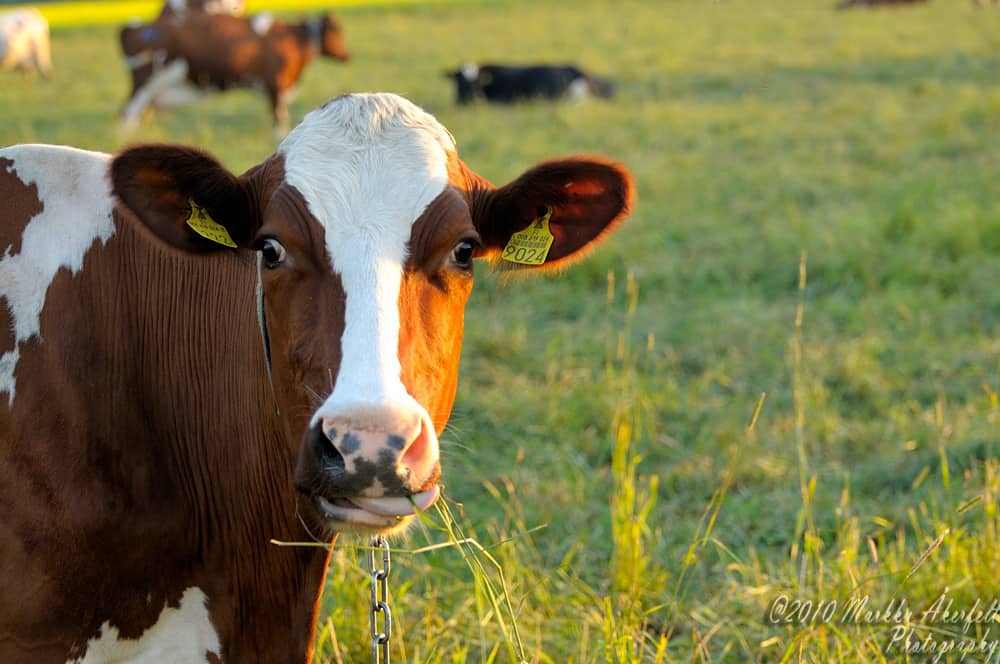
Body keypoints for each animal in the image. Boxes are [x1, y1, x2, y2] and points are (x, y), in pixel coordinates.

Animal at [118, 13, 348, 139]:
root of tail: (135, 27)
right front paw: (279, 138)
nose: (348, 55)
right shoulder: (275, 85)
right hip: (145, 83)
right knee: (127, 114)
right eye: (335, 32)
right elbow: (279, 118)